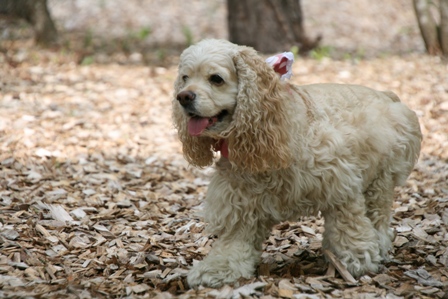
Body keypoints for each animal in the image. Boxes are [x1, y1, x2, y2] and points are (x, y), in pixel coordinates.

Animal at [171, 39, 420, 288]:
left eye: (216, 78)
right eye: (185, 78)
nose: (183, 97)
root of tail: (387, 95)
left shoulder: (339, 183)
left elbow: (348, 222)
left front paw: (356, 257)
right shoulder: (240, 199)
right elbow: (235, 239)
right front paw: (218, 268)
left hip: (381, 178)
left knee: (378, 214)